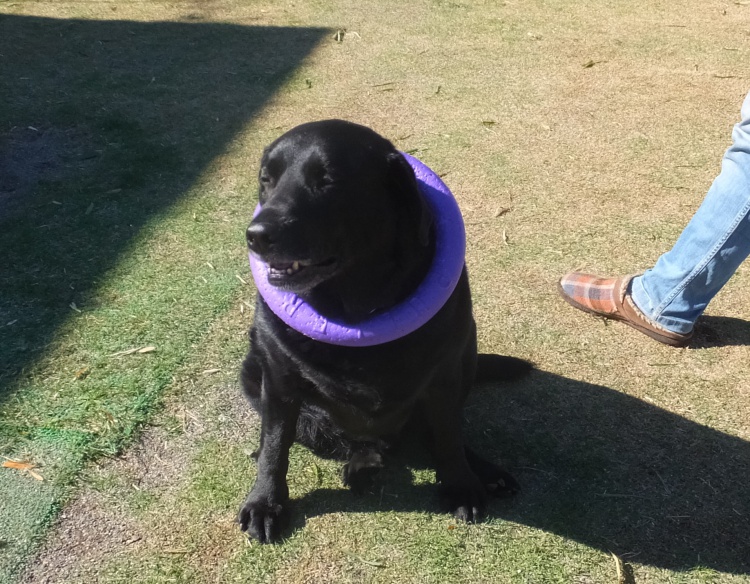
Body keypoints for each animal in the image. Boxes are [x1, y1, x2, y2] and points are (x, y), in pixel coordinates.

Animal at [239, 119, 531, 543]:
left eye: (327, 180)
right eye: (267, 179)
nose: (257, 235)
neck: (355, 311)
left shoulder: (445, 372)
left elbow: (448, 434)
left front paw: (461, 485)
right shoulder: (277, 382)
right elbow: (275, 447)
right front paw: (265, 504)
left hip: (468, 351)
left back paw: (484, 472)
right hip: (251, 374)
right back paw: (363, 463)